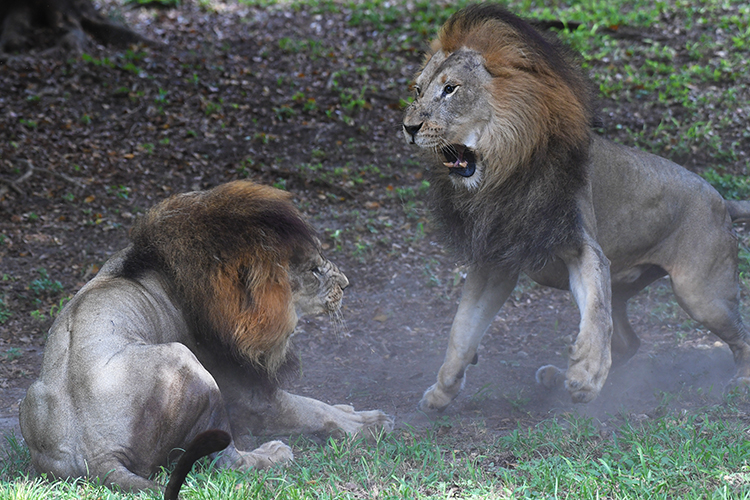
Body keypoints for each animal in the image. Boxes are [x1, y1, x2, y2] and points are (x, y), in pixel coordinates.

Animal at [19, 180, 393, 493]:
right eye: (314, 270)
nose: (346, 283)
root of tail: (98, 454)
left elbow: (317, 404)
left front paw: (352, 410)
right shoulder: (250, 396)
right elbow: (311, 409)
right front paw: (369, 423)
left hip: (31, 397)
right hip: (184, 361)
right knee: (227, 461)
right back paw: (272, 455)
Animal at [402, 4, 750, 410]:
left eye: (450, 89)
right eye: (418, 90)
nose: (409, 127)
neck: (501, 178)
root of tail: (721, 200)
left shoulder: (582, 245)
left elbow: (596, 312)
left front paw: (585, 374)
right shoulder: (494, 261)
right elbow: (462, 329)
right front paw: (441, 393)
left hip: (701, 295)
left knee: (739, 335)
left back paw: (741, 380)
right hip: (636, 286)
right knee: (630, 340)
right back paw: (554, 377)